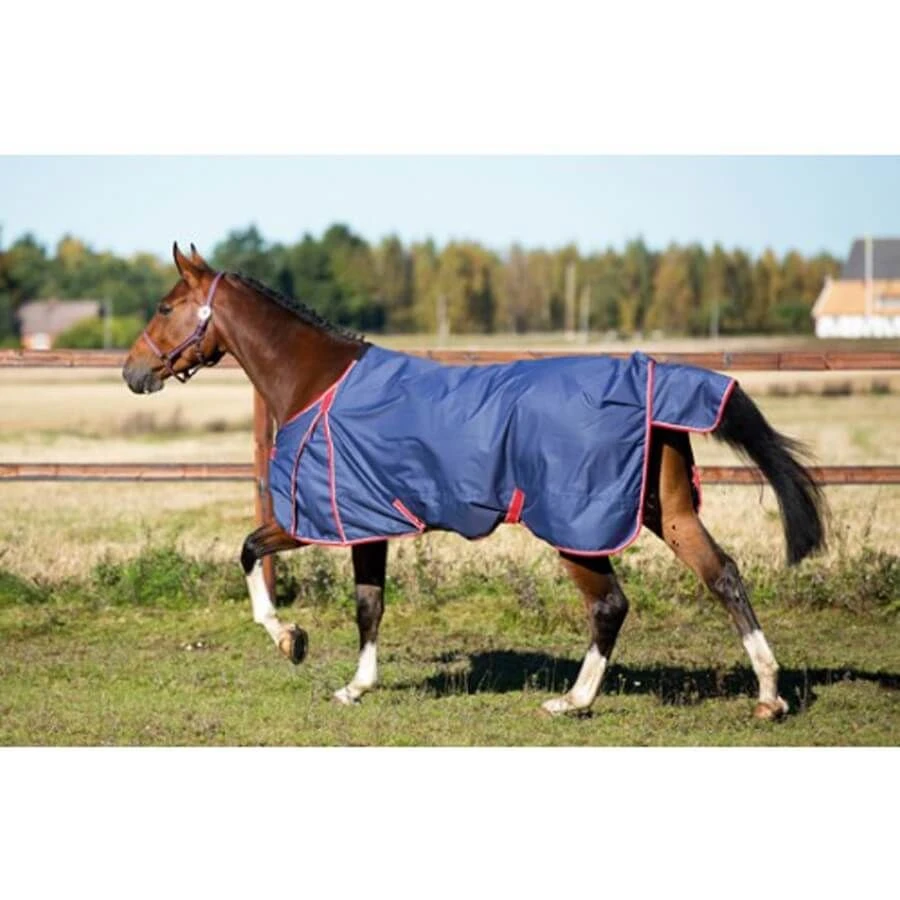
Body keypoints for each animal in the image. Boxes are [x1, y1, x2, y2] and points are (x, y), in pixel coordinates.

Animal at [122, 243, 826, 720]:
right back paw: (769, 696)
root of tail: (652, 377)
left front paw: (291, 640)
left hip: (576, 528)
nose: (133, 372)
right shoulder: (368, 524)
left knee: (610, 605)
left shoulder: (319, 521)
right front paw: (355, 684)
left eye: (164, 307)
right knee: (723, 576)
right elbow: (369, 605)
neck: (316, 383)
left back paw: (573, 700)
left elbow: (250, 552)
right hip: (665, 512)